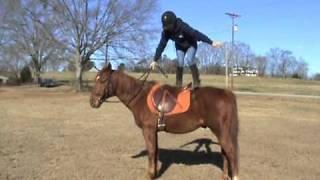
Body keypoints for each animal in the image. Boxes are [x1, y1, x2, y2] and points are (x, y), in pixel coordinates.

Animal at [89, 63, 239, 180]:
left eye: (102, 80)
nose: (92, 102)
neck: (140, 95)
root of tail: (226, 93)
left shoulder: (148, 130)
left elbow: (151, 152)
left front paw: (150, 175)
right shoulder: (154, 131)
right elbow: (155, 151)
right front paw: (154, 173)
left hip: (220, 131)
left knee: (231, 153)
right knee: (225, 153)